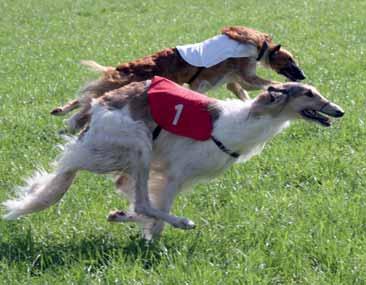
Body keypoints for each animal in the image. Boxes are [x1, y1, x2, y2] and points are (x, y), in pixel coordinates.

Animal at [2, 76, 344, 239]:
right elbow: (153, 210)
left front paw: (128, 221)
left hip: (132, 155)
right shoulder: (175, 173)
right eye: (309, 94)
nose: (340, 110)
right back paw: (183, 222)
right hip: (138, 143)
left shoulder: (171, 175)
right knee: (142, 201)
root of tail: (96, 112)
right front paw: (151, 233)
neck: (237, 123)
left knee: (130, 190)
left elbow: (147, 210)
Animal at [50, 25, 304, 130]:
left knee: (84, 99)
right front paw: (286, 87)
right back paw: (70, 120)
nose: (302, 75)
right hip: (120, 87)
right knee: (87, 102)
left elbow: (241, 92)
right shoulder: (243, 74)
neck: (260, 46)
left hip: (114, 86)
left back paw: (61, 112)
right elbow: (266, 83)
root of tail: (123, 67)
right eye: (291, 61)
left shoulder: (233, 80)